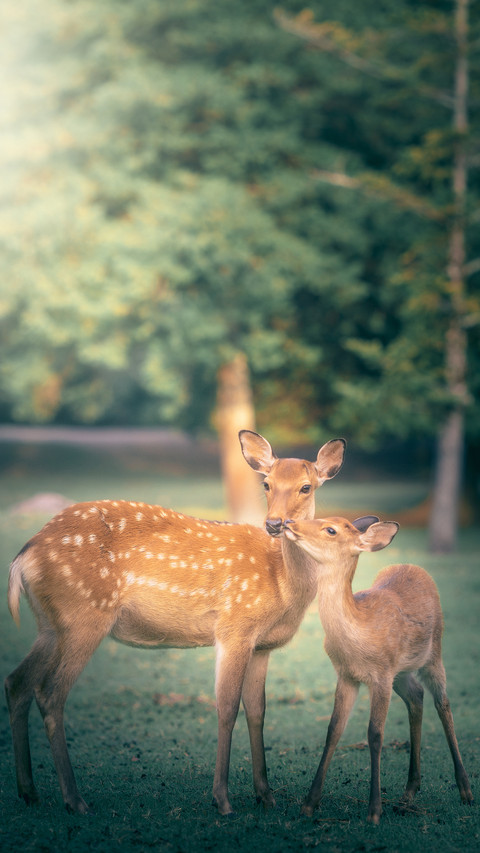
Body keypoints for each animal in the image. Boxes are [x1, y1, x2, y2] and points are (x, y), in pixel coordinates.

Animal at [5, 431, 345, 818]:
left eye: (306, 487)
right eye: (267, 483)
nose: (274, 524)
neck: (284, 583)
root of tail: (24, 557)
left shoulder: (262, 645)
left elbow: (257, 710)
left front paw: (266, 795)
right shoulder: (235, 626)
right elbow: (227, 707)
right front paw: (222, 799)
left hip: (50, 625)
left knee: (17, 682)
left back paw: (29, 792)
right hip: (84, 615)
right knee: (50, 692)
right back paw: (74, 799)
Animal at [283, 515, 474, 824]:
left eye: (331, 529)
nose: (288, 522)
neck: (359, 635)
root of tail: (412, 565)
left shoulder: (381, 674)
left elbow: (375, 734)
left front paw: (374, 811)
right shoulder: (347, 675)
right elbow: (333, 729)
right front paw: (309, 804)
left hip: (434, 653)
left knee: (443, 703)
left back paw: (465, 790)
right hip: (402, 671)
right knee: (416, 696)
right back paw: (410, 790)